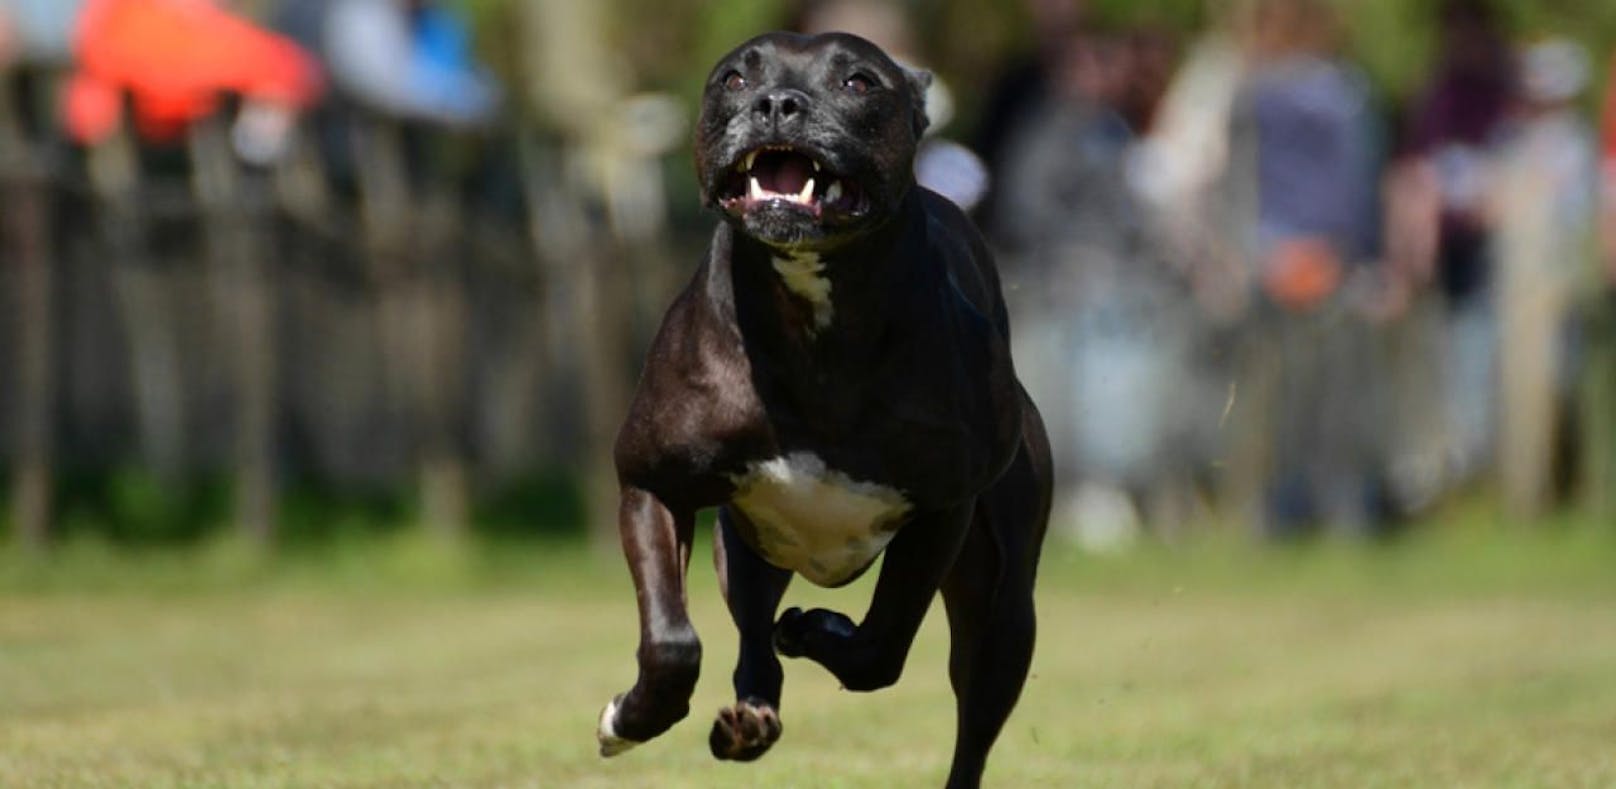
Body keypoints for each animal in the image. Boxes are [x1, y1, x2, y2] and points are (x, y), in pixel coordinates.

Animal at [601, 30, 1053, 789]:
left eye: (858, 82)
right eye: (733, 77)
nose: (777, 103)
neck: (812, 309)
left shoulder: (943, 510)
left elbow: (881, 647)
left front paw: (821, 629)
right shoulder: (653, 482)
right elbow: (672, 640)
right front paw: (630, 720)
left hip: (1004, 609)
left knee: (972, 724)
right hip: (748, 547)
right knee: (753, 637)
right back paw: (751, 720)